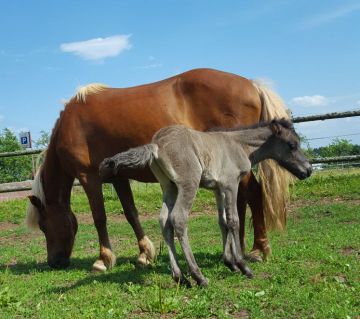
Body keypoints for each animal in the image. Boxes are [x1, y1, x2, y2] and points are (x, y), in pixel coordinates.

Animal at [26, 69, 290, 272]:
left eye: (44, 226)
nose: (54, 262)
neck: (70, 125)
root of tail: (252, 85)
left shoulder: (88, 177)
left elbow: (99, 218)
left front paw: (103, 259)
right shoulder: (117, 176)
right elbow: (131, 213)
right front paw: (144, 254)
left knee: (253, 194)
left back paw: (258, 249)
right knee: (242, 198)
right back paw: (241, 248)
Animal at [100, 119, 310, 288]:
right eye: (292, 144)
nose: (307, 170)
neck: (239, 145)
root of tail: (156, 145)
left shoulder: (218, 189)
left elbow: (222, 222)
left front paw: (230, 263)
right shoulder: (230, 184)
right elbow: (233, 221)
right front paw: (243, 266)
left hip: (169, 187)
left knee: (164, 222)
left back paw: (180, 277)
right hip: (189, 184)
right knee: (178, 219)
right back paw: (198, 276)